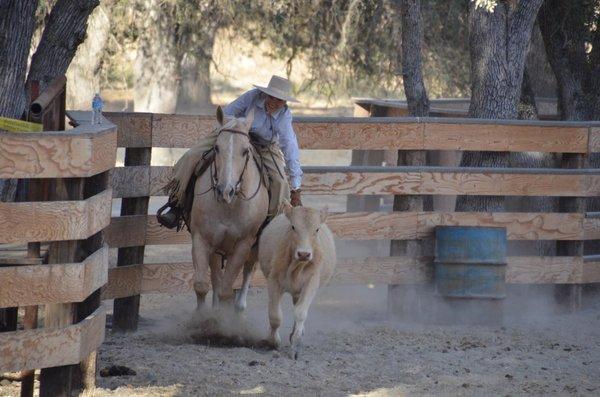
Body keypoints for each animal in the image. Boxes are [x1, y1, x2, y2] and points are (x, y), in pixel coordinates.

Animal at [191, 106, 268, 310]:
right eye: (217, 147)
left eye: (245, 151)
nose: (225, 191)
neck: (229, 207)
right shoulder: (202, 239)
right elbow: (202, 286)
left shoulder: (243, 245)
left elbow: (226, 291)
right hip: (217, 249)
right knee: (216, 277)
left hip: (254, 248)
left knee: (248, 271)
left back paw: (240, 306)